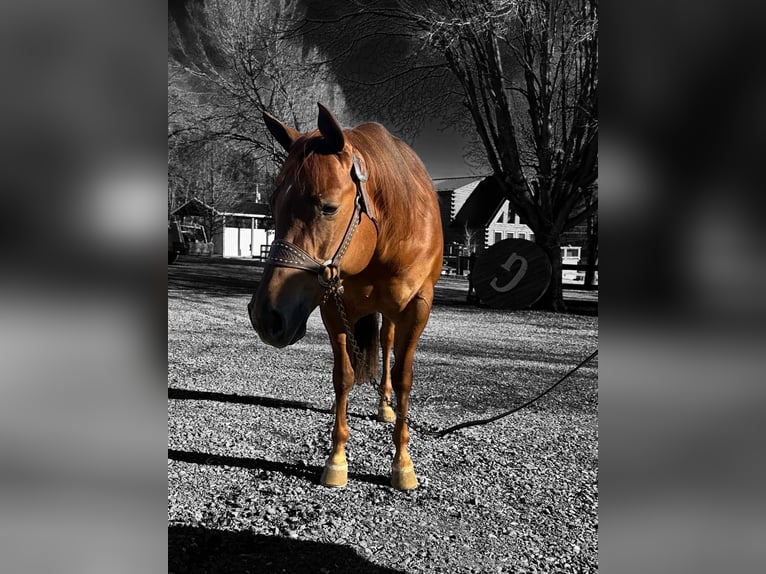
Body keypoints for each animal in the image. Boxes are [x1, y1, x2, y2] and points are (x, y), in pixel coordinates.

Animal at [248, 103, 443, 490]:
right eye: (274, 204)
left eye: (328, 207)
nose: (266, 317)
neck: (386, 235)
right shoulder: (332, 307)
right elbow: (344, 376)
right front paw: (336, 459)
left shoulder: (418, 308)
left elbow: (403, 378)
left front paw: (403, 464)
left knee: (387, 345)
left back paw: (385, 406)